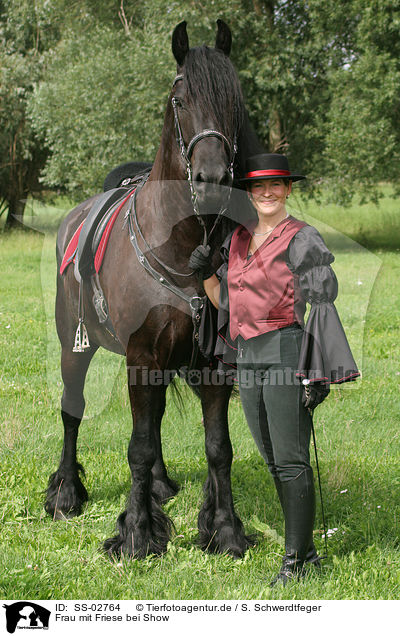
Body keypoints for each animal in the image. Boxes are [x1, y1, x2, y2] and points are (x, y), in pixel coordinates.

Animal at [44, 18, 260, 556]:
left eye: (234, 101)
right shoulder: (141, 356)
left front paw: (225, 530)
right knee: (72, 411)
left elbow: (218, 448)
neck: (181, 246)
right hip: (74, 345)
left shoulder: (211, 365)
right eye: (179, 100)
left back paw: (160, 486)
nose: (211, 179)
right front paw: (138, 533)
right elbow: (137, 447)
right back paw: (66, 494)